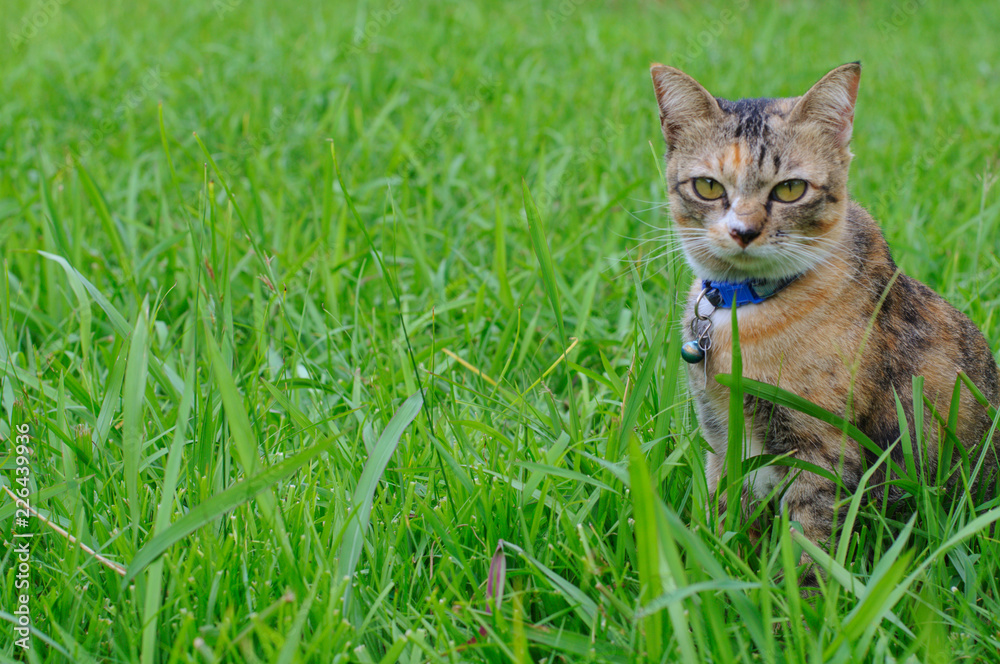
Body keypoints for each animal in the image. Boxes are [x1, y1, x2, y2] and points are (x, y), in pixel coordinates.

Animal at [648, 62, 1000, 580]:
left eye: (791, 188)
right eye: (708, 186)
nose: (744, 231)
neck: (743, 308)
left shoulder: (823, 450)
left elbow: (810, 547)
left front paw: (799, 597)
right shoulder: (722, 439)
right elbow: (723, 518)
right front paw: (712, 572)